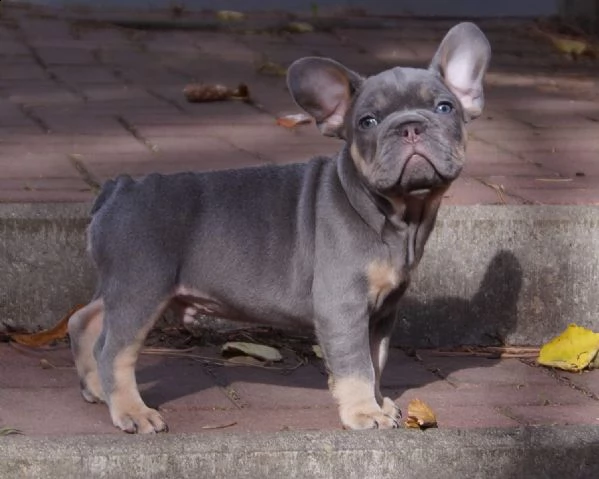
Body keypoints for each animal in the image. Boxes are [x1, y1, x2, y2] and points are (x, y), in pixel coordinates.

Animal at [70, 22, 492, 434]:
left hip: (123, 286)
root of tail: (120, 187)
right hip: (141, 287)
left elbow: (376, 361)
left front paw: (377, 402)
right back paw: (131, 411)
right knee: (113, 350)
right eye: (367, 121)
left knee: (85, 318)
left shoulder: (382, 312)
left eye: (444, 107)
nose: (410, 127)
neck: (396, 215)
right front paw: (363, 413)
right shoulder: (344, 305)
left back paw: (96, 390)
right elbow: (356, 364)